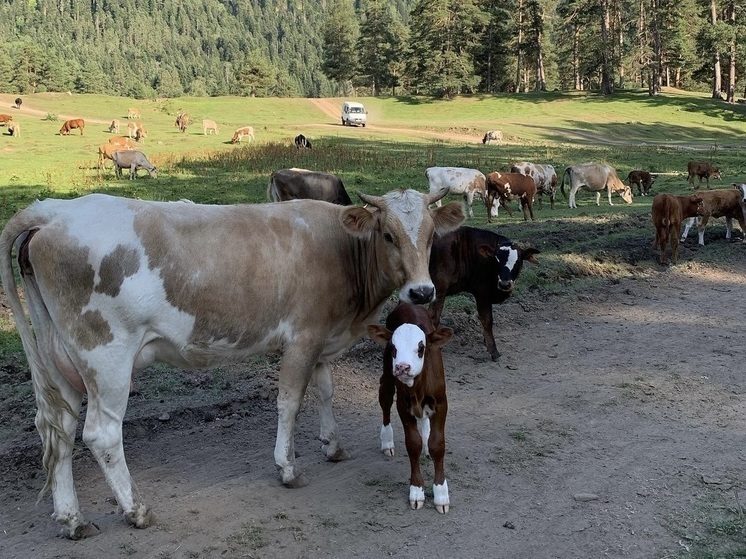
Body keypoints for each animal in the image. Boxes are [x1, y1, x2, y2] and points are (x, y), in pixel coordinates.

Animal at [366, 304, 454, 516]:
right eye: (394, 348)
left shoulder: (441, 403)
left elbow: (438, 445)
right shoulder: (403, 406)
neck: (418, 387)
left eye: (421, 348)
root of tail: (407, 305)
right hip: (387, 376)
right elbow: (412, 444)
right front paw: (416, 491)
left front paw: (441, 494)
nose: (403, 367)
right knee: (385, 399)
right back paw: (387, 441)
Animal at [428, 228, 536, 364]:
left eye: (518, 262)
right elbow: (487, 320)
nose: (505, 284)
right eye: (497, 261)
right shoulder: (479, 293)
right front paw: (493, 350)